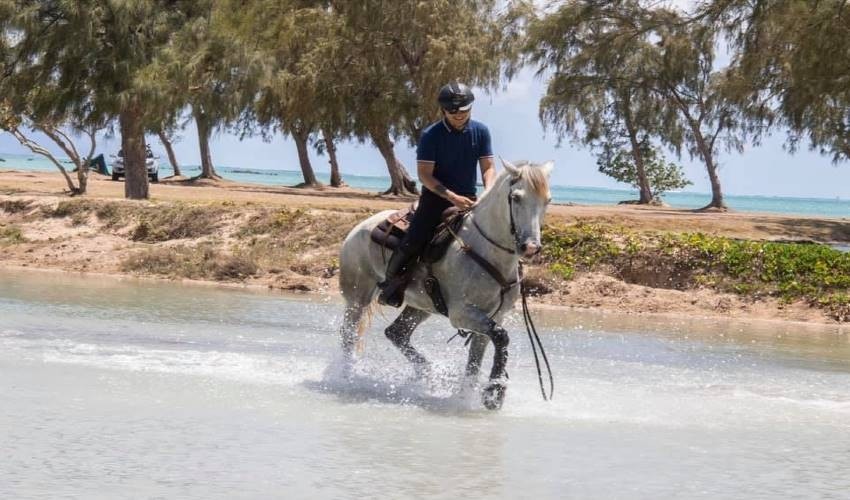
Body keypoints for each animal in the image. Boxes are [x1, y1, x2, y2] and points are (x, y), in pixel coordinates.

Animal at [337, 158, 553, 410]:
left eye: (547, 200)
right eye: (516, 197)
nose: (531, 247)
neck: (485, 250)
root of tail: (359, 228)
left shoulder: (493, 316)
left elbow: (478, 358)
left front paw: (469, 396)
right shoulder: (461, 313)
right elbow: (501, 337)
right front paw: (495, 391)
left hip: (421, 306)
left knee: (396, 333)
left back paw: (429, 375)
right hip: (357, 298)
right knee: (349, 336)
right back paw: (345, 376)